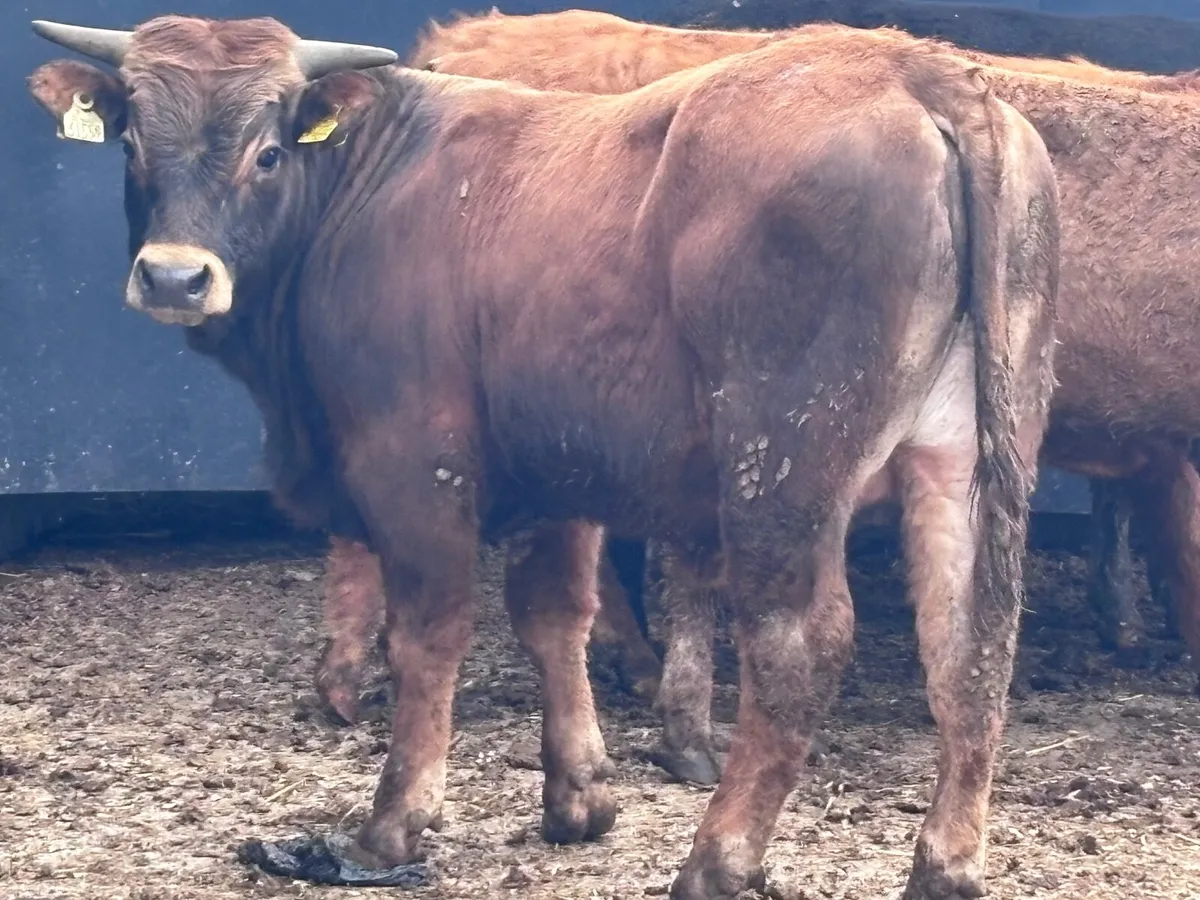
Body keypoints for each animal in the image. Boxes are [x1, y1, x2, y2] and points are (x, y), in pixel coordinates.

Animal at [27, 16, 1058, 899]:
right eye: (131, 142)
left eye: (268, 150)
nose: (174, 277)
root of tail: (912, 68)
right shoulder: (557, 474)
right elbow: (555, 618)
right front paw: (579, 799)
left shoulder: (417, 466)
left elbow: (429, 635)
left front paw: (392, 827)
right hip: (963, 458)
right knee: (970, 644)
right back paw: (946, 866)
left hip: (781, 466)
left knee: (799, 649)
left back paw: (717, 860)